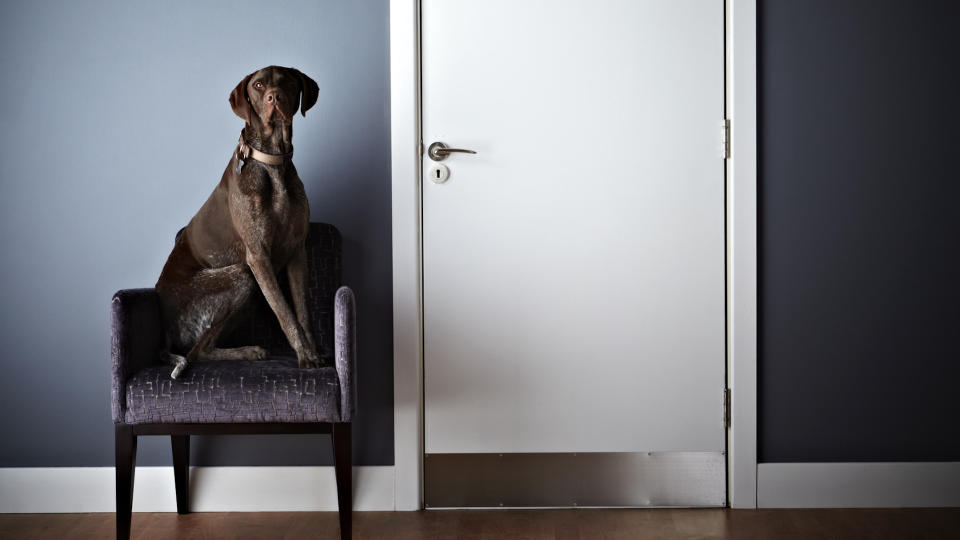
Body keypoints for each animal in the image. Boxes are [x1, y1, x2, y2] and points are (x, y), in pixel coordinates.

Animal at [158, 65, 322, 380]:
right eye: (258, 85)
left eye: (288, 81)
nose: (274, 97)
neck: (273, 163)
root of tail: (165, 329)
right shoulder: (258, 257)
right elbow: (286, 313)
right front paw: (305, 356)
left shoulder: (298, 251)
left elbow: (303, 312)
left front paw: (315, 352)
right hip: (242, 276)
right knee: (196, 352)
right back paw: (249, 351)